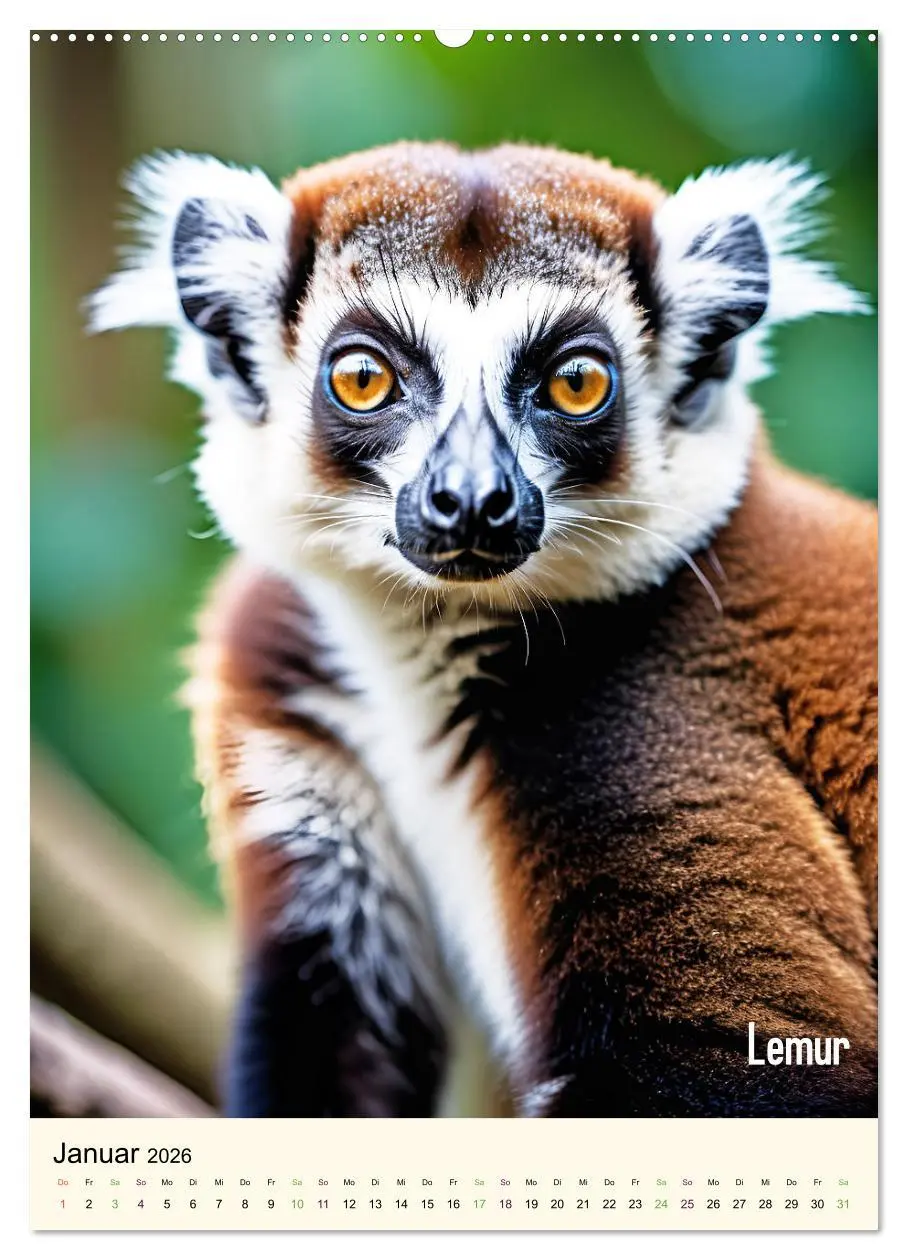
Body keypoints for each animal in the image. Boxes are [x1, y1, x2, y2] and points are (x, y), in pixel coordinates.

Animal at [90, 142, 877, 1119]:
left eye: (575, 383)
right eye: (364, 379)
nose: (471, 498)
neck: (428, 652)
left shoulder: (639, 729)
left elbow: (755, 1064)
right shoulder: (282, 672)